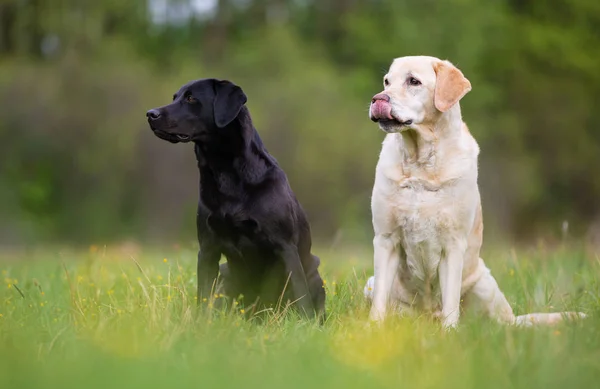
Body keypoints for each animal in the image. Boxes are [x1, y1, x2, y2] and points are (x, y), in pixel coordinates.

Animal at [146, 78, 324, 318]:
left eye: (191, 98)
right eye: (175, 97)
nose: (150, 114)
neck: (225, 173)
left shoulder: (286, 247)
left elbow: (301, 295)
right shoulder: (208, 249)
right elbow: (203, 295)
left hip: (314, 271)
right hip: (225, 274)